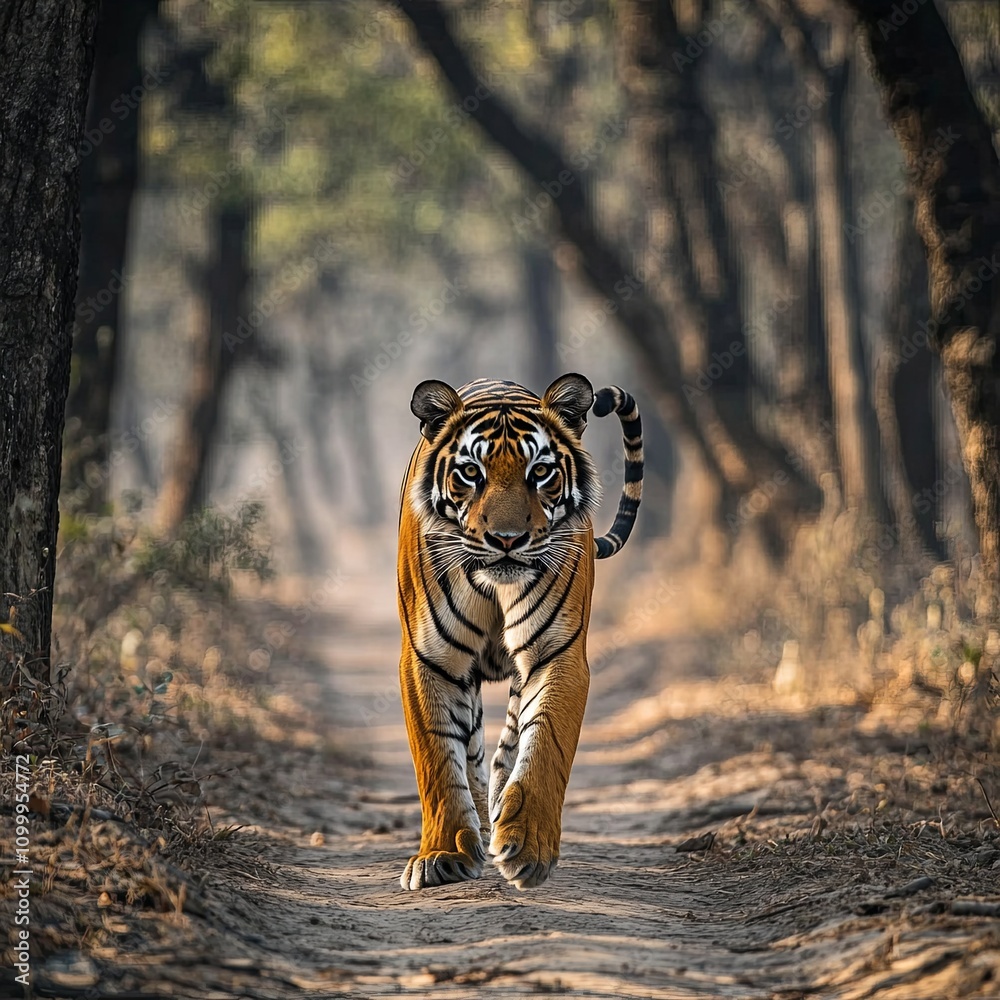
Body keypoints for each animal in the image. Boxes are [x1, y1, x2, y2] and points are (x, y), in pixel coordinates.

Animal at [397, 373, 643, 890]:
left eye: (541, 472)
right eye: (471, 473)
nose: (507, 540)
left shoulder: (556, 653)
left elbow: (544, 744)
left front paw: (527, 846)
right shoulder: (430, 659)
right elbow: (437, 760)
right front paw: (442, 854)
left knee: (508, 744)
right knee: (471, 748)